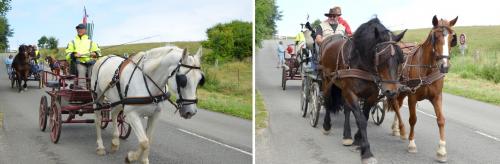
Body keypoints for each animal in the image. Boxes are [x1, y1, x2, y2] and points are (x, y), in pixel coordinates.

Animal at [320, 17, 406, 163]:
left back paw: (347, 136)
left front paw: (357, 140)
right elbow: (360, 120)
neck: (361, 63)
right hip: (327, 81)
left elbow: (364, 117)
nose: (392, 91)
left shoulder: (371, 95)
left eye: (401, 59)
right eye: (382, 57)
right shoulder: (351, 93)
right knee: (327, 100)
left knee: (347, 109)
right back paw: (326, 126)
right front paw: (366, 151)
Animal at [390, 15, 458, 163]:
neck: (426, 68)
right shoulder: (412, 96)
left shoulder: (437, 97)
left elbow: (441, 120)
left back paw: (396, 129)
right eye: (436, 37)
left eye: (452, 38)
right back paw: (402, 130)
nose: (444, 66)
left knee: (398, 104)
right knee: (396, 106)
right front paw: (411, 144)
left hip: (402, 91)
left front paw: (442, 151)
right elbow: (413, 119)